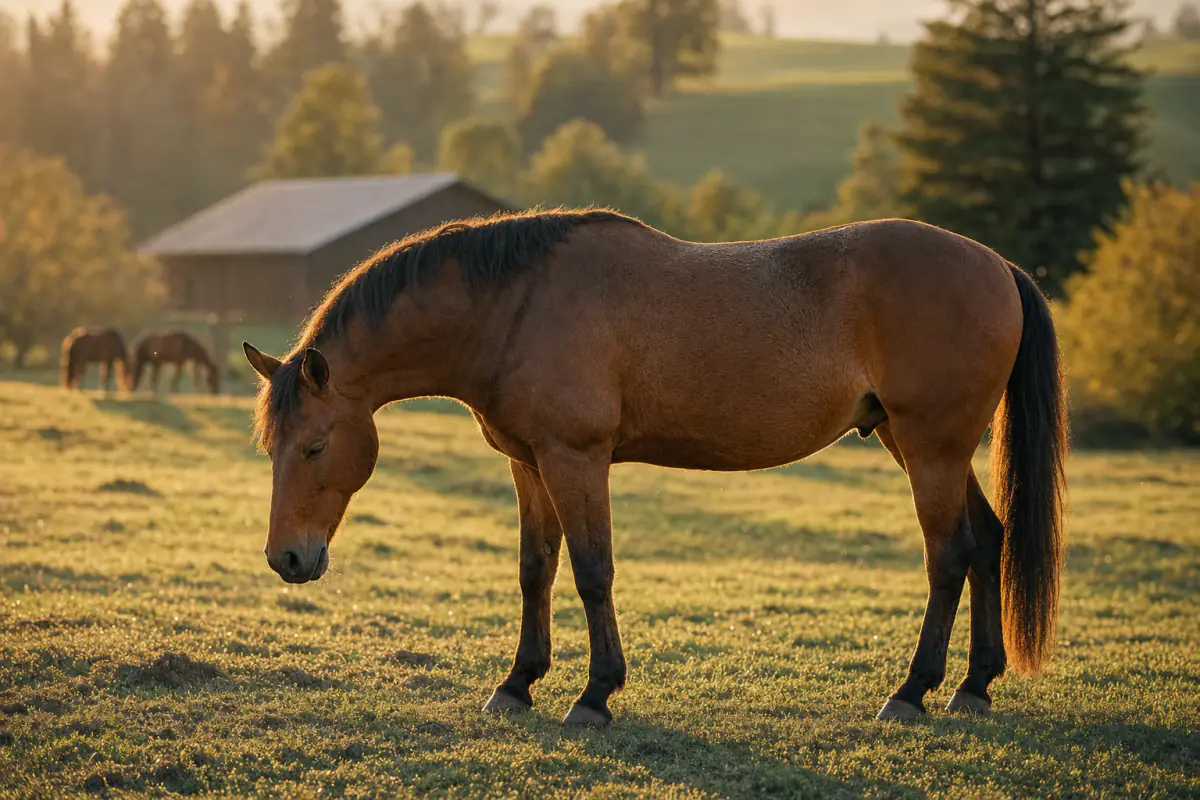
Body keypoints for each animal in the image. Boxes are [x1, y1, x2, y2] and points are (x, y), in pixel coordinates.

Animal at [241, 209, 1067, 728]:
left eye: (314, 446)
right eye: (270, 448)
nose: (287, 559)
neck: (515, 306)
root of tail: (996, 265)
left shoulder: (577, 458)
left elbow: (591, 572)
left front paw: (594, 695)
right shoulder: (530, 464)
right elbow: (535, 571)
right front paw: (517, 684)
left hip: (930, 448)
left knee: (949, 556)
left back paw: (912, 691)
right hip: (920, 443)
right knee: (988, 541)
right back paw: (975, 685)